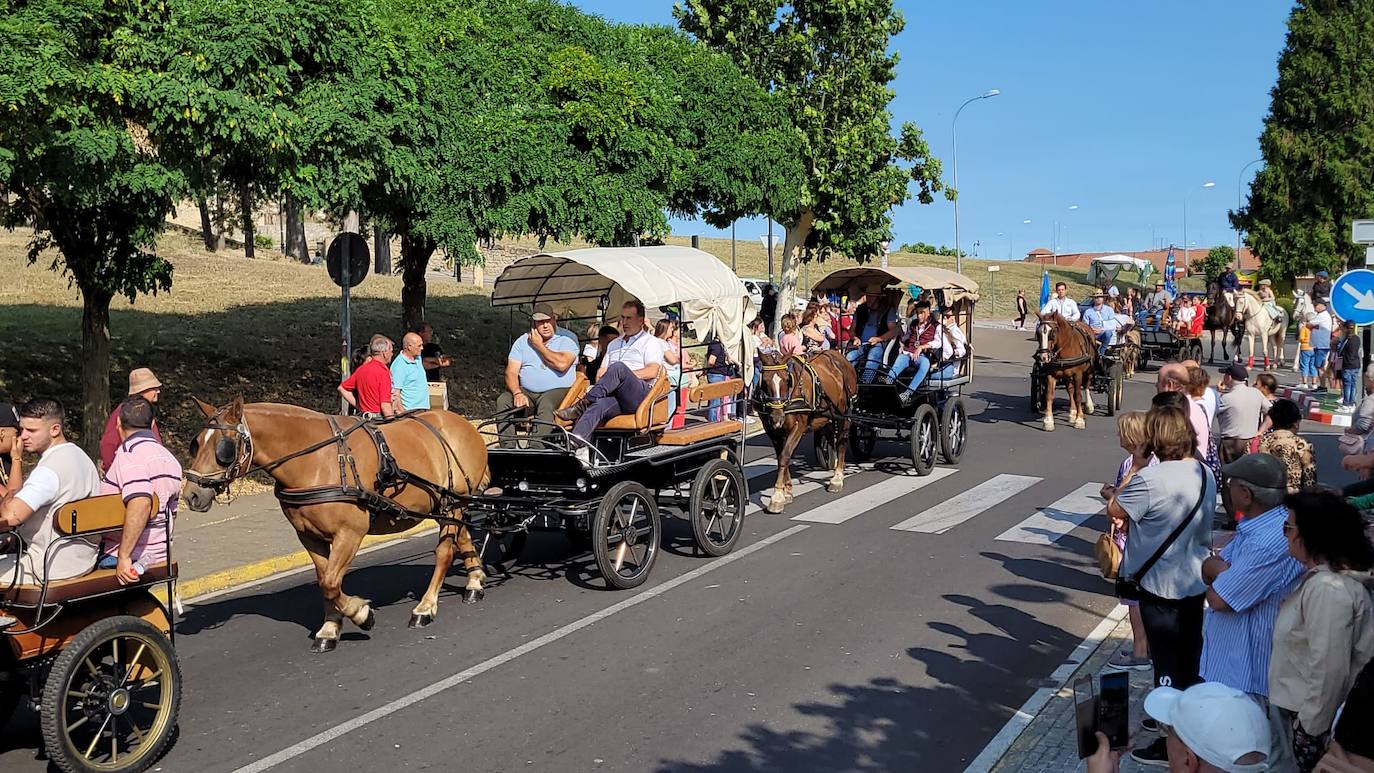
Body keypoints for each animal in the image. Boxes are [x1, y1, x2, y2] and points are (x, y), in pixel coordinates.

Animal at [177, 398, 489, 653]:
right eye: (196, 443)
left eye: (224, 449)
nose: (191, 495)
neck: (317, 460)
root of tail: (464, 424)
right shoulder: (308, 536)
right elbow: (325, 580)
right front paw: (330, 628)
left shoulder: (350, 533)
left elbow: (330, 582)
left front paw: (360, 613)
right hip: (448, 506)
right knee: (462, 539)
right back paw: (474, 581)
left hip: (454, 503)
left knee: (444, 553)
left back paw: (425, 606)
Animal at [752, 347, 857, 510]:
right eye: (764, 382)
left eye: (786, 380)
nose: (777, 418)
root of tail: (838, 354)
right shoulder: (773, 431)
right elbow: (781, 457)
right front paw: (787, 491)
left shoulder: (798, 427)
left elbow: (785, 456)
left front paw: (777, 497)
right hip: (826, 416)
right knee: (830, 436)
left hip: (843, 414)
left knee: (841, 442)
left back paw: (837, 478)